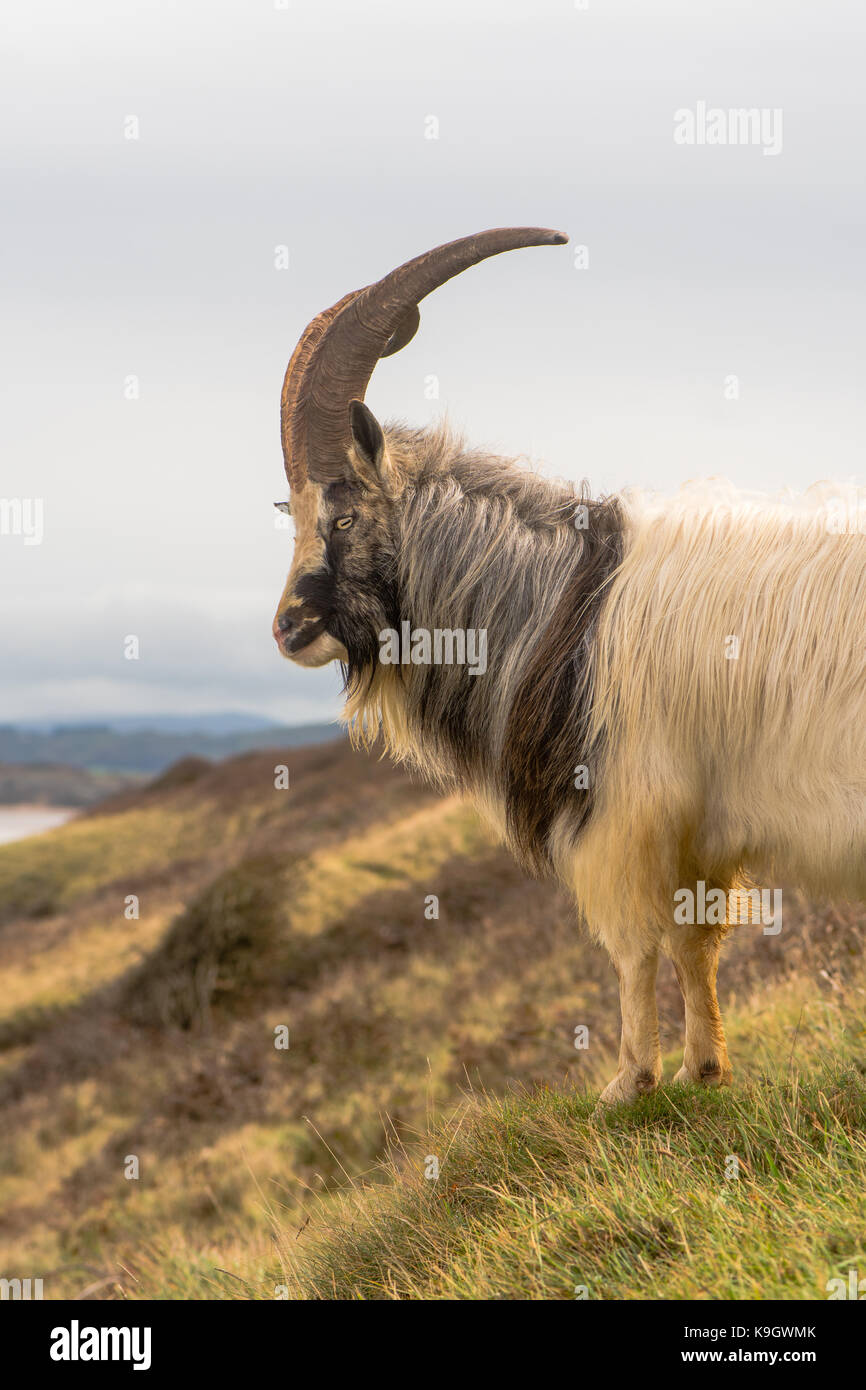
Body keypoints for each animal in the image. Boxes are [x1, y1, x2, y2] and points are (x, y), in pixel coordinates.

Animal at [273, 222, 866, 1100]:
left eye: (343, 517)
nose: (288, 628)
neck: (561, 597)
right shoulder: (697, 829)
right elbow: (694, 943)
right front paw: (703, 1069)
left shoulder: (626, 808)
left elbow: (635, 944)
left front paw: (628, 1084)